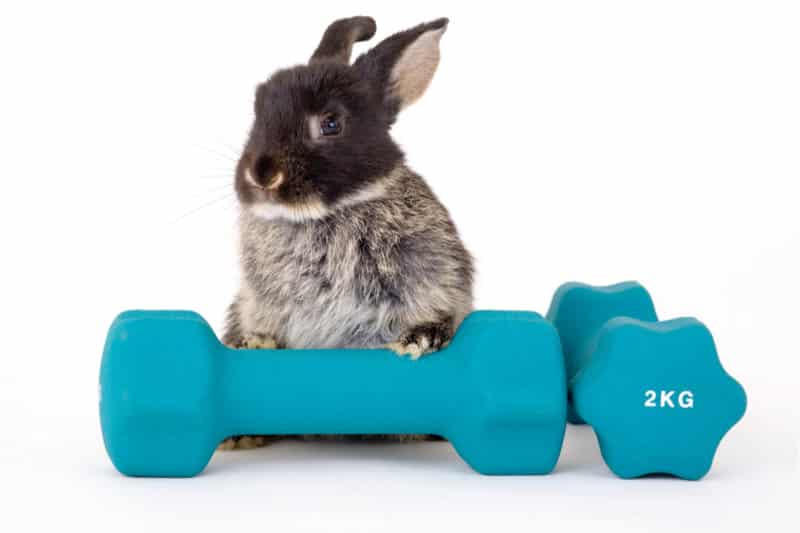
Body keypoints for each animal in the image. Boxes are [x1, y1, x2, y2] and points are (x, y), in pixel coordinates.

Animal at [219, 16, 474, 450]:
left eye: (331, 123)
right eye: (258, 110)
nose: (261, 174)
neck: (321, 216)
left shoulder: (439, 281)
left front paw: (419, 340)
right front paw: (253, 344)